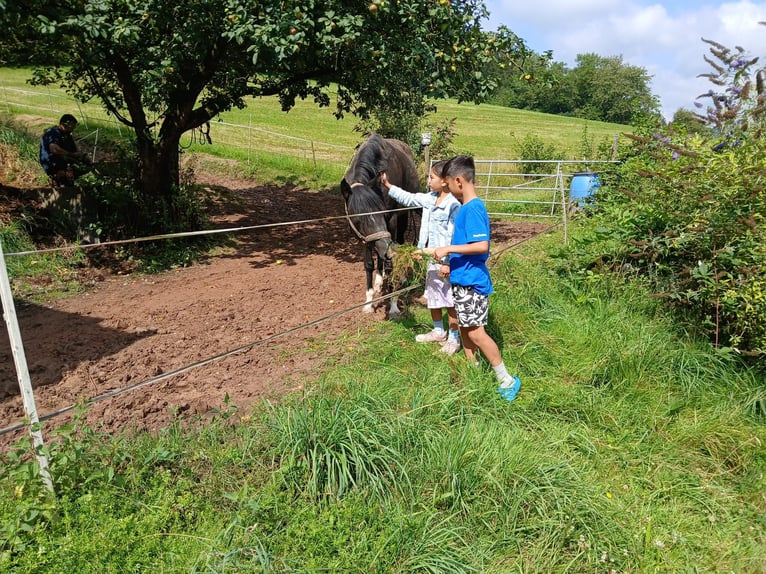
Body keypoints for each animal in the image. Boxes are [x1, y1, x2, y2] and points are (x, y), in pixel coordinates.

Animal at [344, 133, 424, 318]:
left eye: (382, 211)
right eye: (358, 220)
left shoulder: (391, 221)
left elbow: (391, 261)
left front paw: (394, 305)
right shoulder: (364, 236)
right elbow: (369, 264)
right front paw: (369, 302)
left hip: (403, 218)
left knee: (399, 242)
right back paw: (380, 280)